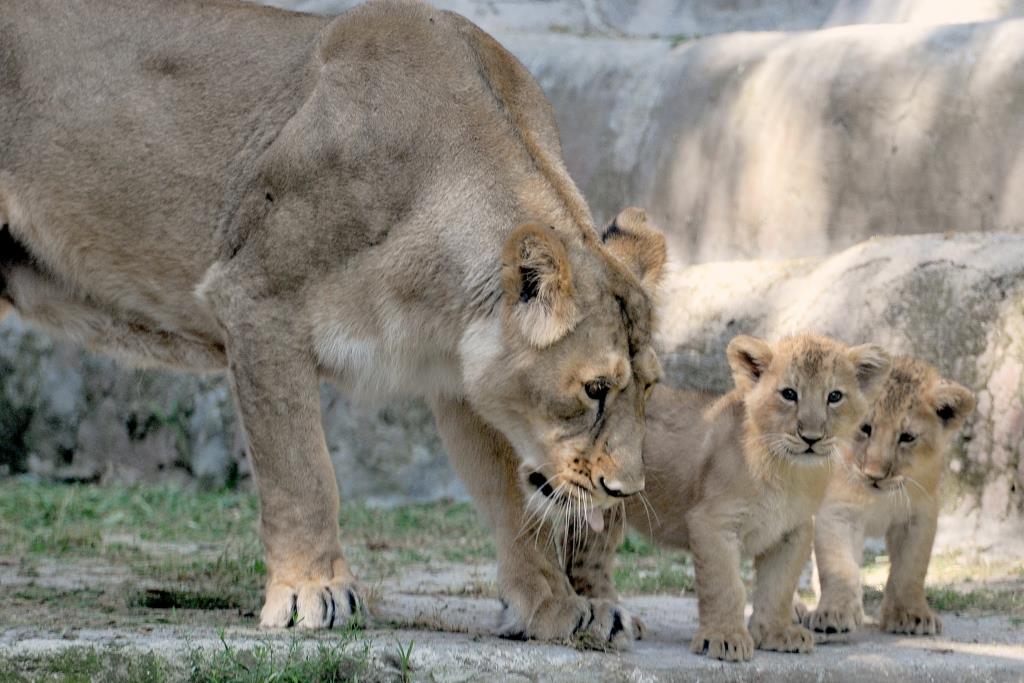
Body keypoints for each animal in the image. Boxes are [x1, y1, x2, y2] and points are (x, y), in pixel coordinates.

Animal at [0, 0, 663, 647]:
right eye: (594, 390)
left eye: (649, 389)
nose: (628, 492)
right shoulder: (256, 298)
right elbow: (301, 470)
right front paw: (310, 593)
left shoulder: (461, 377)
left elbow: (511, 497)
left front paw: (552, 604)